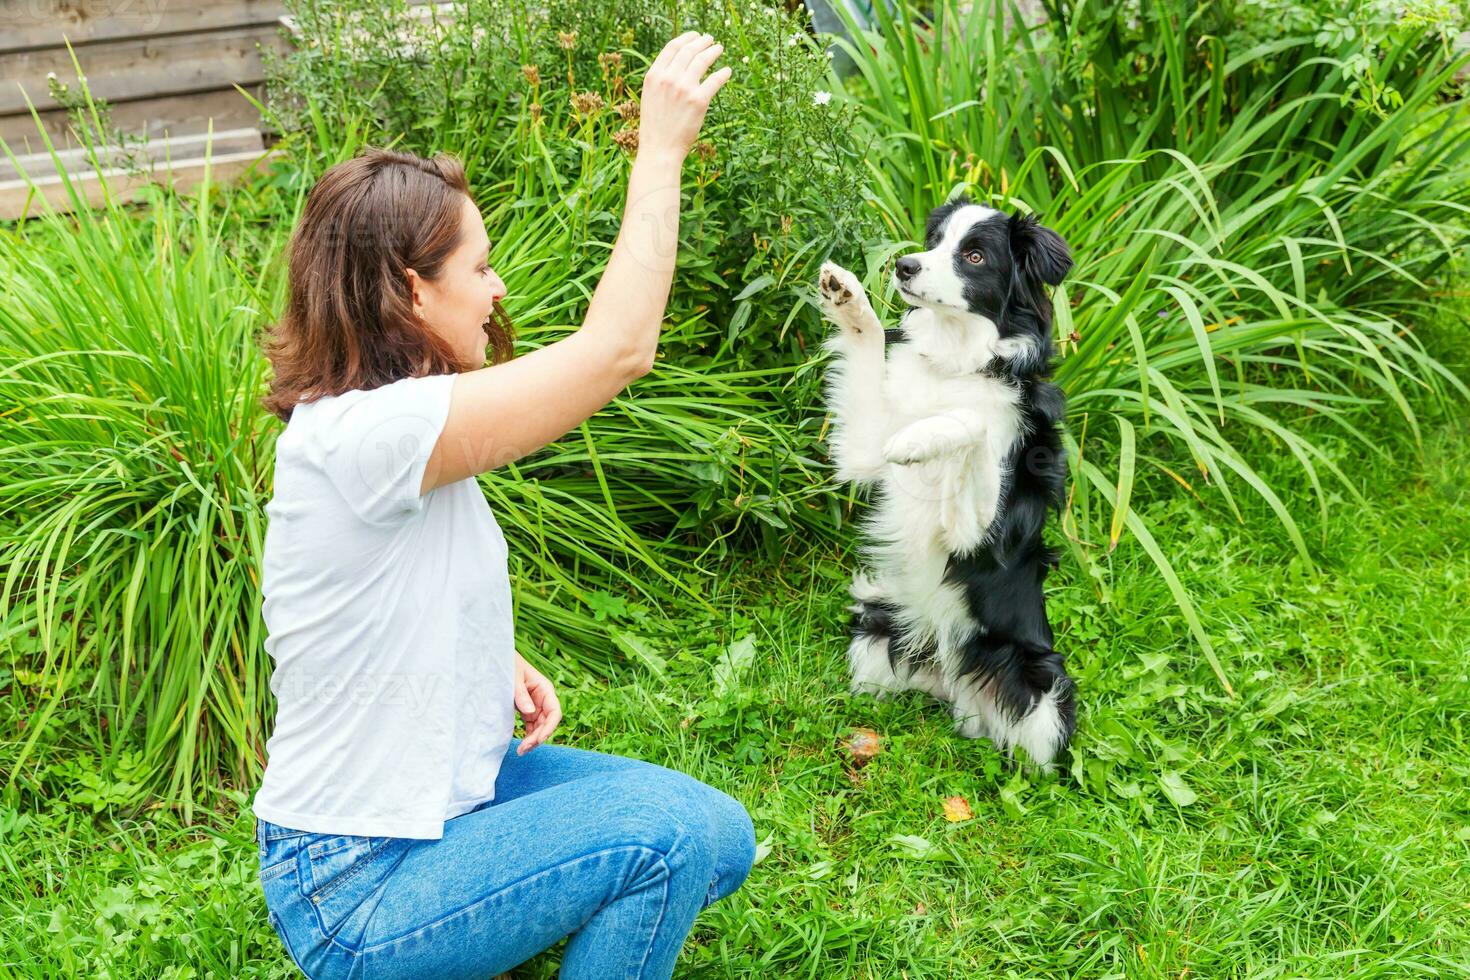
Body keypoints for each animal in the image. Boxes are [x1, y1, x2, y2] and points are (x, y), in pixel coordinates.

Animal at [817, 195, 1081, 769]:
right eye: (935, 241)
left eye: (975, 256)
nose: (904, 266)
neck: (957, 362)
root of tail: (953, 683)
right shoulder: (864, 448)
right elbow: (870, 347)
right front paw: (848, 296)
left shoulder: (977, 535)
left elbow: (975, 425)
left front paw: (921, 440)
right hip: (875, 623)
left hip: (1044, 686)